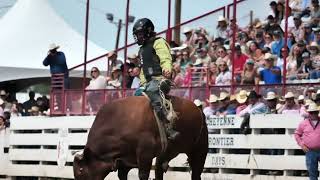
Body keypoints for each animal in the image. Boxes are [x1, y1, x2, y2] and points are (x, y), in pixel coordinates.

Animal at [73, 96, 208, 180]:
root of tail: (198, 108)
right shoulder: (125, 161)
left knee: (196, 174)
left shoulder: (144, 154)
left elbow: (143, 175)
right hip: (164, 155)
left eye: (81, 170)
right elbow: (122, 175)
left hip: (199, 151)